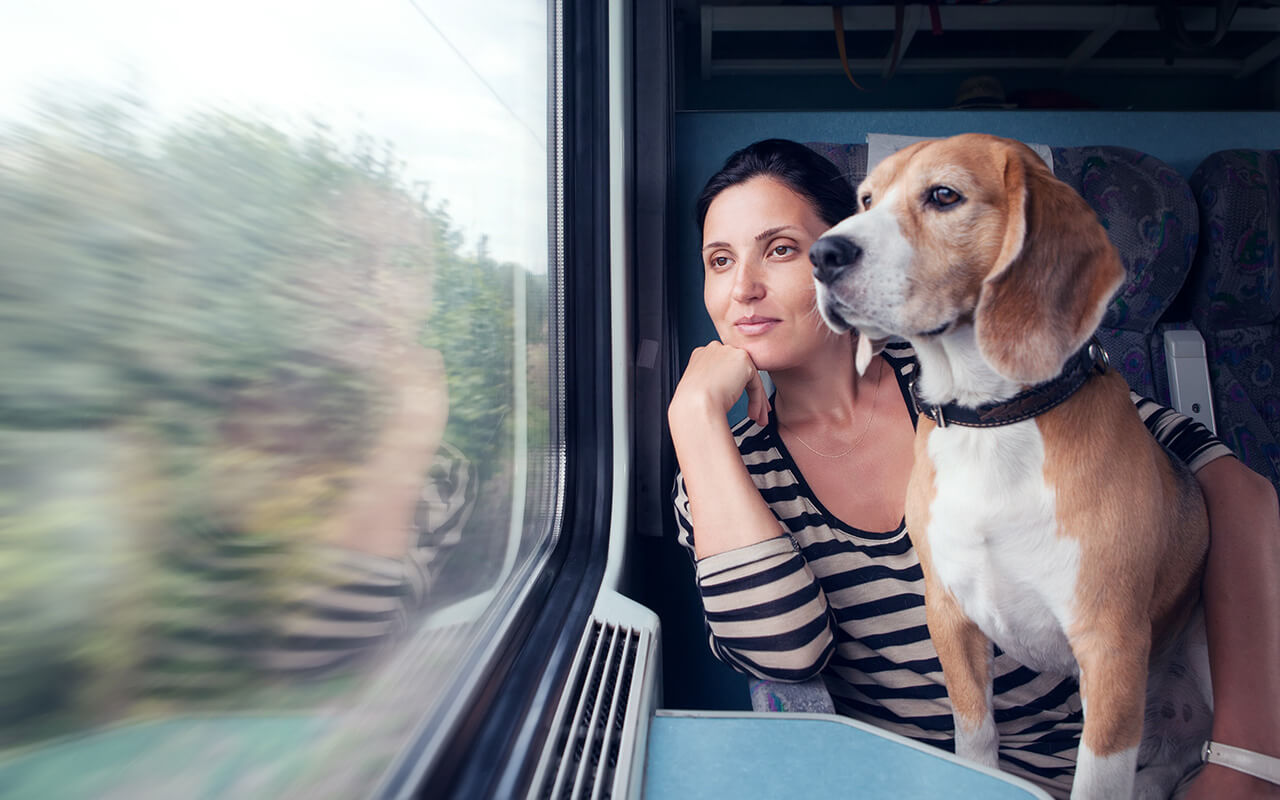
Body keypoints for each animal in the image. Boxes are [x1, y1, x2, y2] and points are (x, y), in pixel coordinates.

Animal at [808, 134, 1208, 793]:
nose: (821, 254)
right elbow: (975, 738)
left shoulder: (1111, 647)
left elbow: (1098, 778)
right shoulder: (949, 614)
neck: (991, 420)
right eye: (865, 198)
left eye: (944, 195)